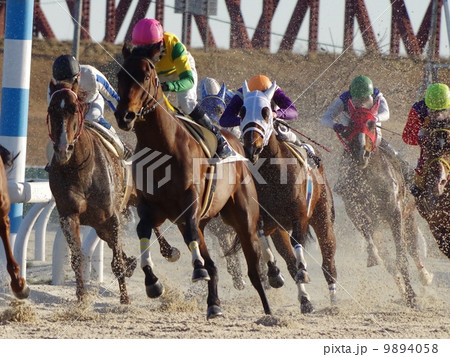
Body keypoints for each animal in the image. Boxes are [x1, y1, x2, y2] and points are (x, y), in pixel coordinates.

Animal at [47, 81, 138, 304]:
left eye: (73, 109)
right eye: (51, 109)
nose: (63, 149)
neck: (80, 168)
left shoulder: (112, 217)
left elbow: (116, 261)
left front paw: (125, 298)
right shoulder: (68, 215)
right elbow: (77, 256)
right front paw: (81, 296)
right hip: (99, 225)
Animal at [114, 45, 270, 318]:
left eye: (145, 76)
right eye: (120, 75)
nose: (125, 116)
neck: (162, 146)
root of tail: (238, 143)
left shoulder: (190, 203)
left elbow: (190, 233)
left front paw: (197, 269)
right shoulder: (152, 208)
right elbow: (143, 229)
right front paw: (152, 282)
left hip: (244, 217)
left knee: (252, 266)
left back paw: (269, 310)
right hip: (205, 222)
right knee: (213, 262)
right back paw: (214, 303)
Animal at [239, 80, 338, 312]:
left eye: (266, 111)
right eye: (242, 111)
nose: (251, 147)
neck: (273, 174)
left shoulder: (299, 215)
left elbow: (298, 243)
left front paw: (304, 271)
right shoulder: (263, 218)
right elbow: (266, 243)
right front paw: (275, 274)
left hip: (323, 217)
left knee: (328, 262)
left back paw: (333, 302)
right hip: (279, 229)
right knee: (290, 261)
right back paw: (305, 301)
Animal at [338, 98, 432, 306]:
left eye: (372, 124)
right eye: (351, 125)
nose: (361, 154)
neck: (369, 176)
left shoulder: (395, 214)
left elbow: (402, 257)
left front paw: (412, 297)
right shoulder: (356, 213)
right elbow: (380, 251)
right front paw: (373, 256)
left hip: (408, 216)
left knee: (413, 249)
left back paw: (424, 277)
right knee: (389, 261)